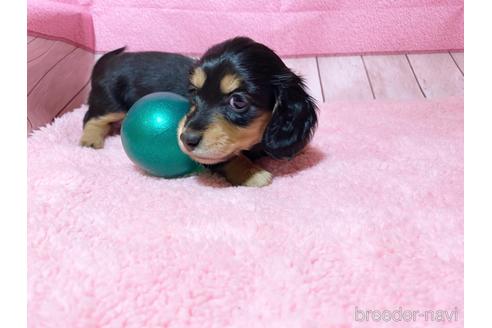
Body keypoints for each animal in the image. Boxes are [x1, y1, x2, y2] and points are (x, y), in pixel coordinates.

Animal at [80, 36, 320, 187]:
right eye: (194, 92)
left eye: (238, 101)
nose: (186, 139)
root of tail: (107, 61)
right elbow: (226, 157)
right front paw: (252, 174)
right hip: (112, 103)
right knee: (92, 117)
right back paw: (90, 140)